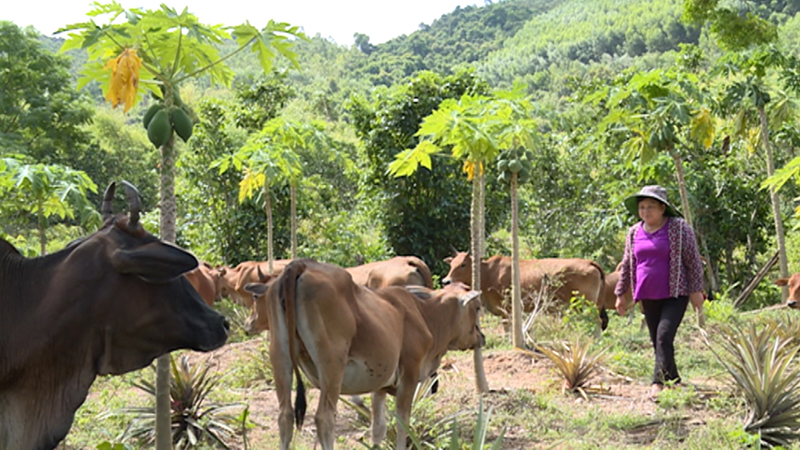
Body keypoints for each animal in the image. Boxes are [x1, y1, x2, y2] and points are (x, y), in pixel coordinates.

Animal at [242, 260, 482, 450]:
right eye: (477, 308)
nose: (482, 336)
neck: (424, 315)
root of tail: (301, 265)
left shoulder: (380, 386)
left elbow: (378, 427)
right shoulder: (409, 375)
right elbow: (402, 423)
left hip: (280, 358)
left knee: (285, 417)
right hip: (332, 366)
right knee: (324, 419)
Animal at [444, 251, 608, 328]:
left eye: (463, 264)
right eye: (451, 264)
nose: (446, 281)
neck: (488, 272)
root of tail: (590, 262)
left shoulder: (506, 308)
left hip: (587, 303)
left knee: (597, 321)